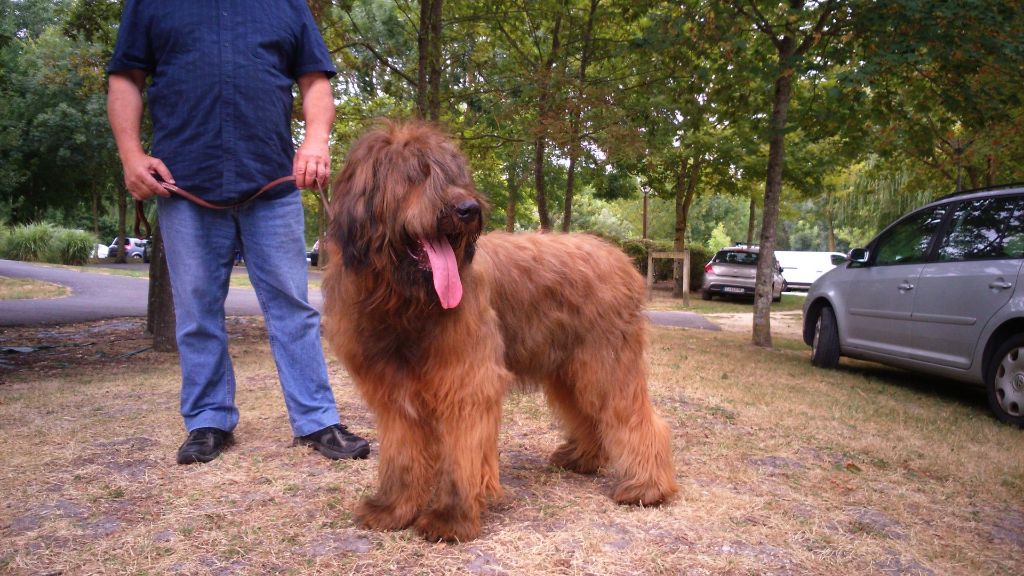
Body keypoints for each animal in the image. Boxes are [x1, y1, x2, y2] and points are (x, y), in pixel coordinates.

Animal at [323, 118, 675, 541]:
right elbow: (403, 454)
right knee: (589, 414)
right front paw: (392, 508)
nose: (468, 209)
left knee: (636, 419)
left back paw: (646, 488)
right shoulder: (394, 394)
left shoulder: (467, 380)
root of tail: (621, 258)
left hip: (605, 362)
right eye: (416, 174)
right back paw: (582, 458)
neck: (406, 301)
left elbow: (462, 456)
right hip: (569, 368)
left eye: (456, 174)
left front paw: (451, 517)